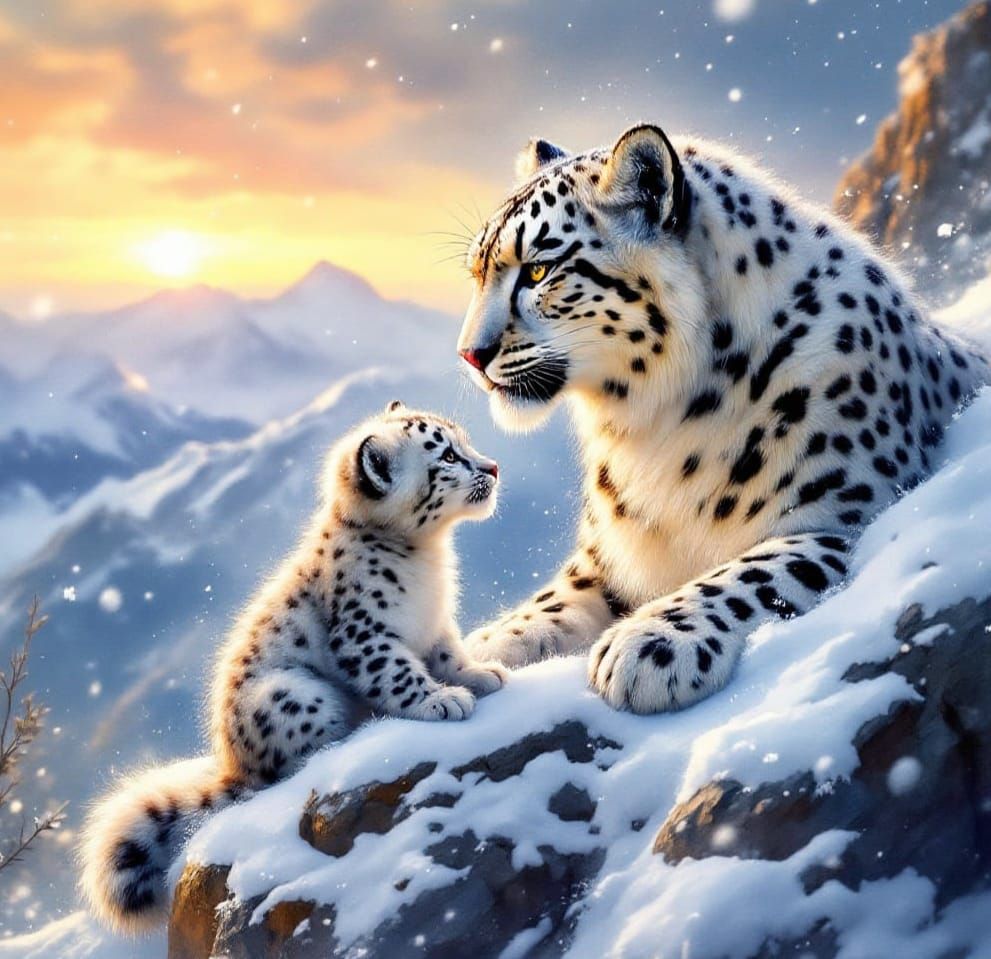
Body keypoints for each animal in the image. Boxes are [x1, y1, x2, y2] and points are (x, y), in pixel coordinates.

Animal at [79, 401, 507, 932]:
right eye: (447, 455)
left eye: (463, 443)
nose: (493, 467)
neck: (428, 560)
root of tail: (234, 764)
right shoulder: (364, 635)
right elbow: (398, 673)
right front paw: (441, 701)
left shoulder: (436, 625)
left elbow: (448, 655)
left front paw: (480, 674)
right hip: (294, 694)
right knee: (288, 768)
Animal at [457, 122, 988, 716]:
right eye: (477, 271)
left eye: (540, 268)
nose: (469, 355)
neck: (651, 430)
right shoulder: (607, 560)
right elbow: (549, 603)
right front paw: (482, 648)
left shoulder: (847, 515)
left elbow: (753, 570)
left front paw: (649, 644)